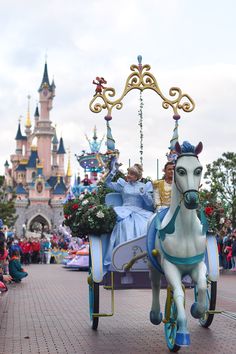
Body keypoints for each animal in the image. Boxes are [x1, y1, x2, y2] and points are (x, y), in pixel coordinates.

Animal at [148, 140, 207, 346]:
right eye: (180, 170)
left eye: (199, 169)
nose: (192, 199)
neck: (185, 231)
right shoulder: (170, 266)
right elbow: (179, 294)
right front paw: (181, 332)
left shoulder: (198, 265)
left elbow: (202, 287)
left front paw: (198, 310)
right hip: (153, 265)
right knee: (156, 284)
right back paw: (156, 315)